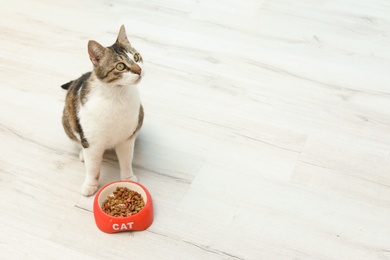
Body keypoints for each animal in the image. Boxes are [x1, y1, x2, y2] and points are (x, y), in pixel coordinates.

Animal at [61, 25, 144, 197]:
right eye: (120, 66)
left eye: (136, 57)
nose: (139, 69)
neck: (117, 96)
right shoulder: (92, 142)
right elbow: (93, 167)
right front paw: (90, 185)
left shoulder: (127, 138)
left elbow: (126, 159)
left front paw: (128, 178)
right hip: (67, 122)